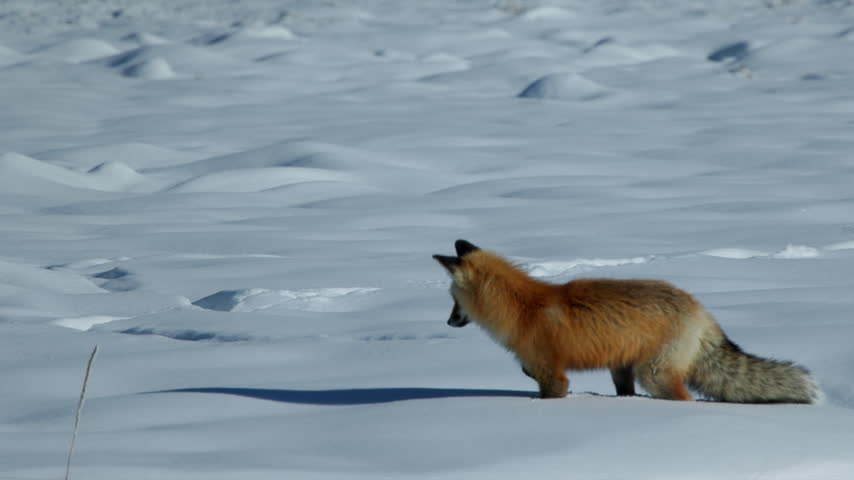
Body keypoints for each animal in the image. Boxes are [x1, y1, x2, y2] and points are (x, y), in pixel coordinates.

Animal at [433, 239, 821, 404]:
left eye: (452, 301)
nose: (449, 323)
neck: (523, 309)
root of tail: (699, 308)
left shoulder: (552, 375)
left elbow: (549, 392)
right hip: (625, 369)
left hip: (654, 375)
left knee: (685, 399)